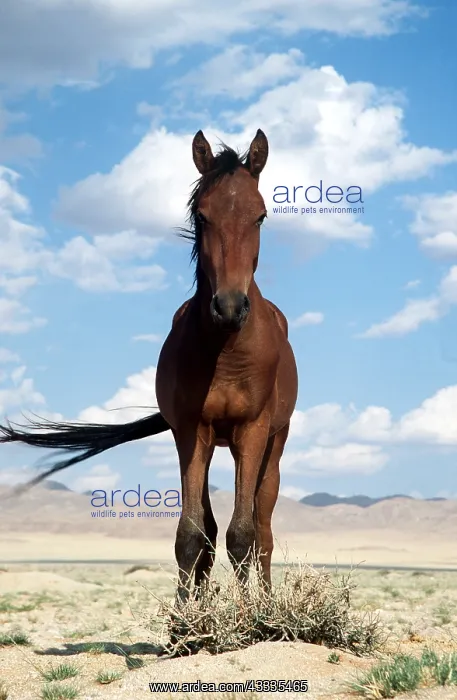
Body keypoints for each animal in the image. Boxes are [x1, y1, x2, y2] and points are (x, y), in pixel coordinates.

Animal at [0, 129, 298, 605]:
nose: (229, 307)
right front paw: (186, 617)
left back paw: (268, 602)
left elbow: (243, 533)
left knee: (263, 530)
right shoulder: (191, 432)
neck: (227, 351)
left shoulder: (252, 431)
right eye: (202, 215)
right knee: (210, 526)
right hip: (211, 444)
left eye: (261, 216)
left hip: (273, 443)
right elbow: (192, 534)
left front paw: (248, 614)